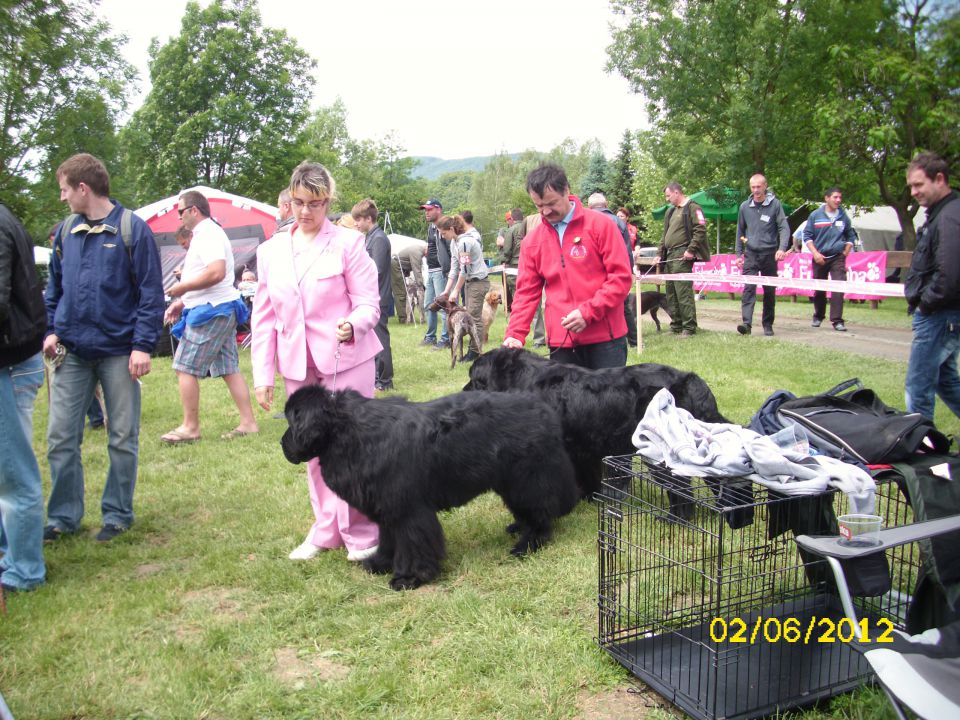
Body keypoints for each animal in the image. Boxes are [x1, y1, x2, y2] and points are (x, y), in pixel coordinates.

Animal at [278, 388, 576, 592]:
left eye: (292, 422)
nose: (283, 444)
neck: (348, 432)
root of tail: (543, 408)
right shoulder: (388, 508)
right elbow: (388, 540)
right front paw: (379, 562)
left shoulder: (408, 511)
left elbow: (412, 543)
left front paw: (409, 577)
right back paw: (518, 527)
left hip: (527, 479)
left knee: (540, 512)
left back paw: (528, 543)